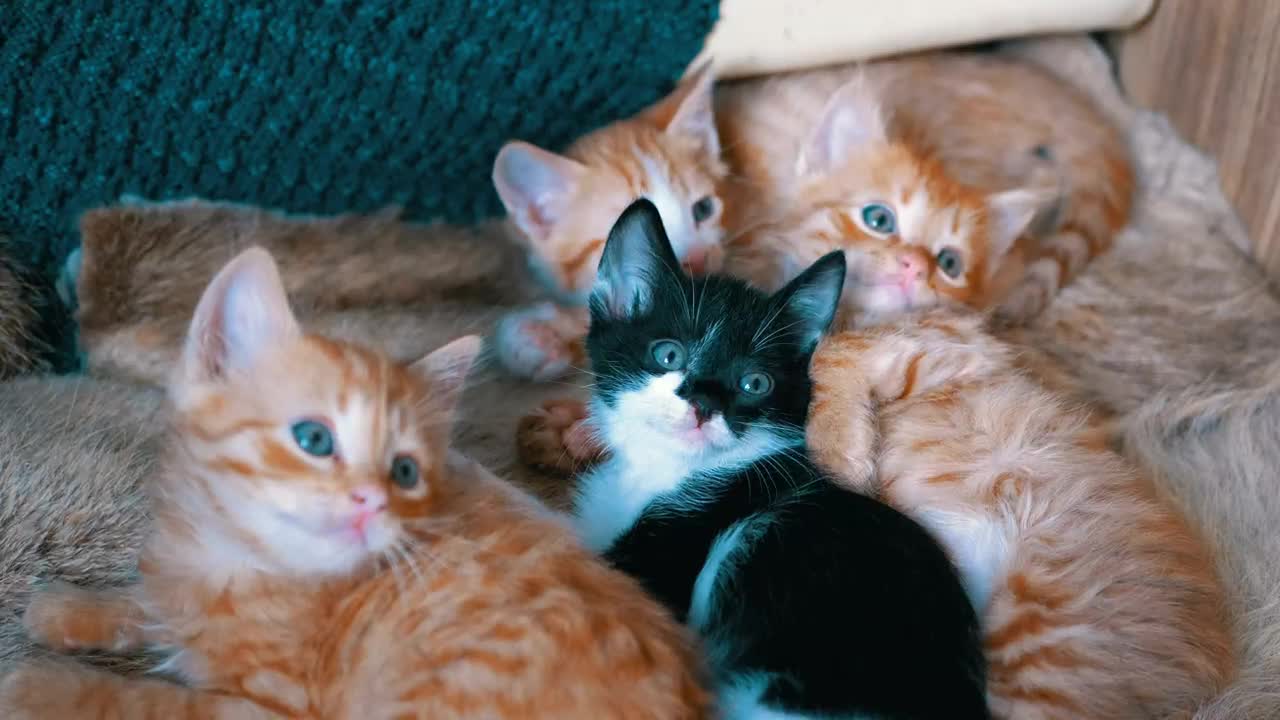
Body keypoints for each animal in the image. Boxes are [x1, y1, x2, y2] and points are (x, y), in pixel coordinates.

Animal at [0, 244, 711, 712]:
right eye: (314, 439)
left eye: (404, 470)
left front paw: (36, 684)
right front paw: (69, 607)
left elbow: (141, 701)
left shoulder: (268, 709)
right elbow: (152, 601)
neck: (242, 562)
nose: (370, 501)